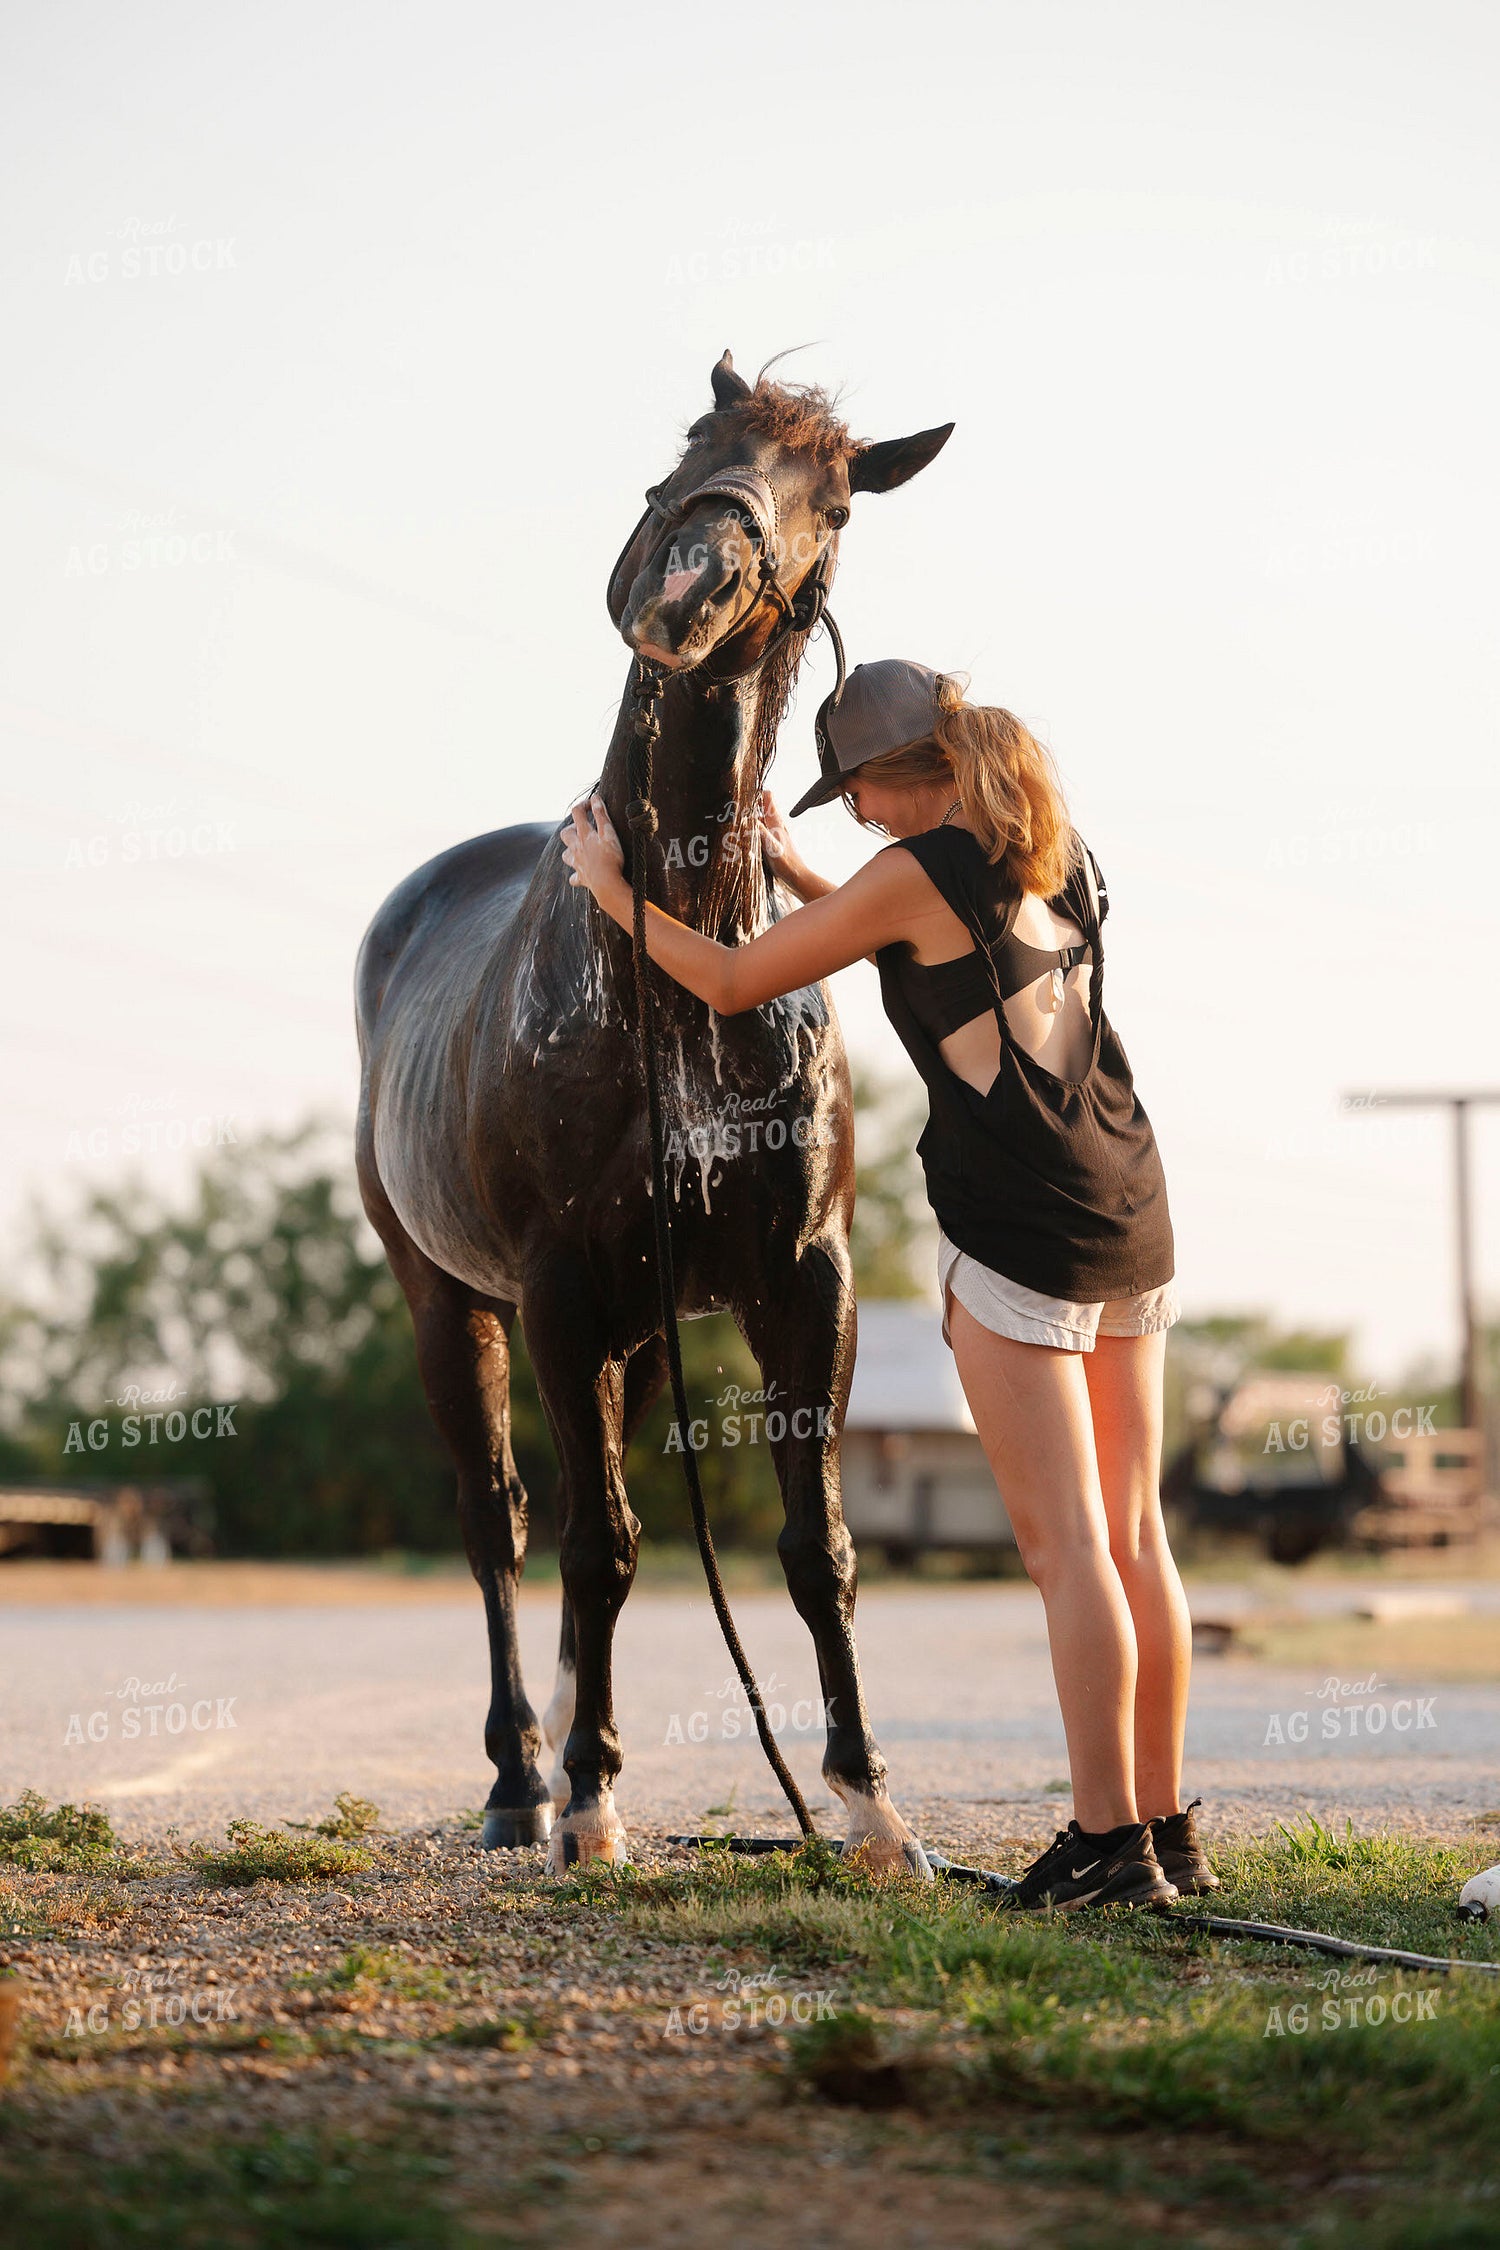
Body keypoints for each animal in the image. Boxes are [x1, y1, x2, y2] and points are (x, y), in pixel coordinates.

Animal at [355, 350, 952, 1873]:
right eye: (689, 444)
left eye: (839, 497)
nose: (687, 587)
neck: (680, 962)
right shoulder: (561, 1294)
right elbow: (601, 1545)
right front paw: (590, 1803)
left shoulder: (805, 1284)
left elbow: (816, 1546)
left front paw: (869, 1807)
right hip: (453, 1303)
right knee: (505, 1527)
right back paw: (527, 1782)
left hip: (626, 1334)